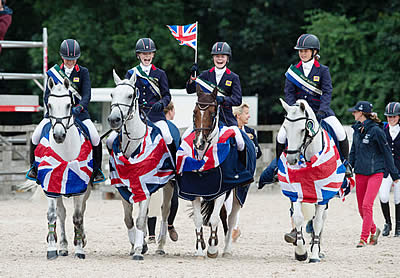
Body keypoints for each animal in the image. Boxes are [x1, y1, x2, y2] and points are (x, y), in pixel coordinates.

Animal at [32, 77, 92, 260]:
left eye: (68, 104)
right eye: (49, 105)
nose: (59, 135)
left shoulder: (80, 187)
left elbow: (78, 217)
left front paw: (79, 249)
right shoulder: (51, 184)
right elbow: (52, 215)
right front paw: (52, 249)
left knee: (80, 212)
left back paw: (80, 240)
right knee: (62, 213)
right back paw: (63, 246)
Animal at [106, 70, 175, 260]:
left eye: (130, 95)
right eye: (112, 94)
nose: (114, 120)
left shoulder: (146, 186)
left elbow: (140, 219)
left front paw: (137, 250)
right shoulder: (124, 186)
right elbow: (129, 219)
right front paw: (136, 246)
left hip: (169, 185)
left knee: (165, 212)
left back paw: (160, 246)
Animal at [176, 87, 256, 258]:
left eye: (213, 113)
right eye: (194, 112)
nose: (199, 143)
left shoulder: (221, 190)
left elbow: (214, 219)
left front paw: (212, 249)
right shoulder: (194, 190)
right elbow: (199, 220)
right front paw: (200, 249)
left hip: (238, 192)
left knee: (231, 218)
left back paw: (226, 249)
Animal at [276, 98, 346, 262]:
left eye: (303, 130)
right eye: (285, 128)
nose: (291, 159)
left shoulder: (323, 195)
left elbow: (318, 222)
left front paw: (314, 253)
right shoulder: (296, 192)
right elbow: (298, 217)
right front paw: (300, 251)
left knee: (321, 220)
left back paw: (319, 250)